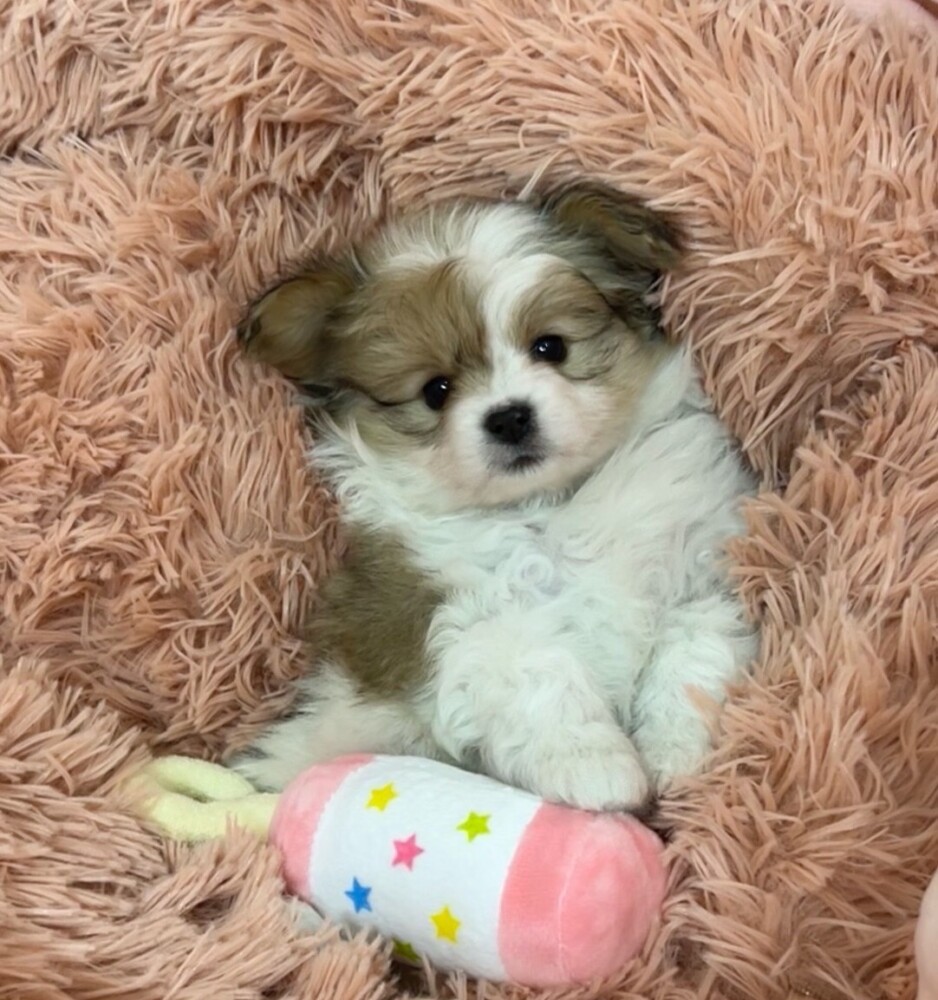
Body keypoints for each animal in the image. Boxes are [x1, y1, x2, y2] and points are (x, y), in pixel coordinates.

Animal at [231, 181, 758, 813]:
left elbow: (691, 655)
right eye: (435, 391)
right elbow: (538, 672)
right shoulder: (461, 619)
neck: (551, 506)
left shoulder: (701, 570)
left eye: (551, 347)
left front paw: (674, 751)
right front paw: (597, 768)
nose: (508, 416)